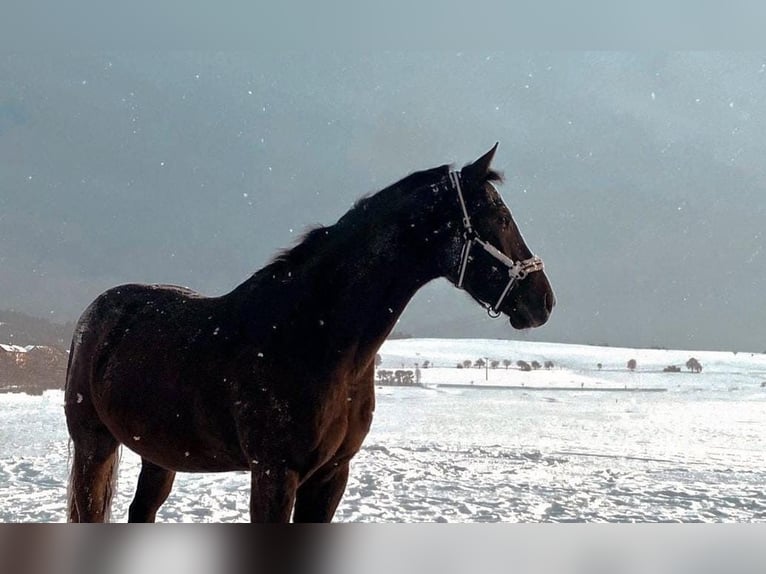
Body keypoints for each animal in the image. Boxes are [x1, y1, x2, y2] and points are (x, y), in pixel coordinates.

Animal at [63, 144, 556, 520]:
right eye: (500, 216)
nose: (543, 301)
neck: (314, 338)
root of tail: (95, 312)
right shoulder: (275, 473)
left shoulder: (332, 475)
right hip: (94, 446)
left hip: (160, 454)